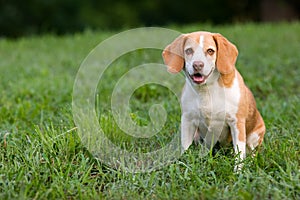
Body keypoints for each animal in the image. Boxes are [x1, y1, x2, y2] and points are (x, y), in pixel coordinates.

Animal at [162, 31, 264, 170]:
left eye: (210, 51)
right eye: (188, 51)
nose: (197, 65)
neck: (206, 90)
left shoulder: (236, 123)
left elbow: (239, 152)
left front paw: (238, 171)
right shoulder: (187, 120)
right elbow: (185, 147)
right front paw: (183, 164)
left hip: (255, 135)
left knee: (252, 151)